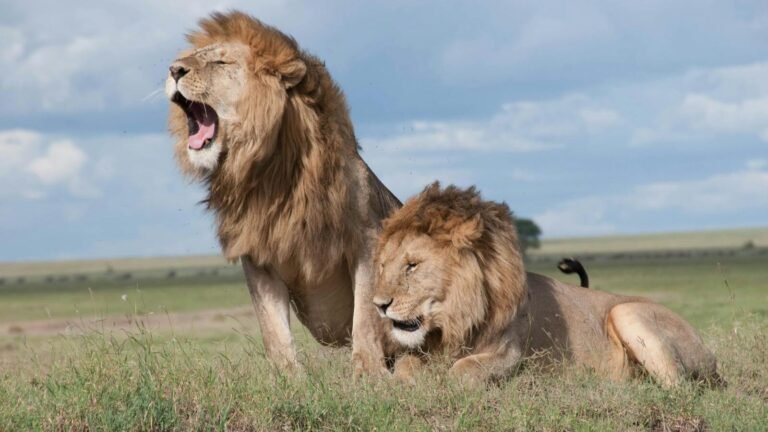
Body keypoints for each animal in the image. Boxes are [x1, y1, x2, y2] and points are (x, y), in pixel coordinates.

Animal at [166, 11, 400, 374]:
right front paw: (288, 378)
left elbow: (365, 316)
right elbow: (273, 328)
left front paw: (368, 374)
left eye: (220, 62)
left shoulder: (367, 239)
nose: (174, 69)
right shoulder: (257, 254)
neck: (271, 174)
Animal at [373, 183, 720, 386]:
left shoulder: (510, 353)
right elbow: (405, 366)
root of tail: (709, 354)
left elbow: (463, 371)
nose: (379, 305)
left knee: (679, 387)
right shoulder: (421, 350)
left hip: (627, 312)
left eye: (412, 266)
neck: (454, 319)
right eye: (383, 266)